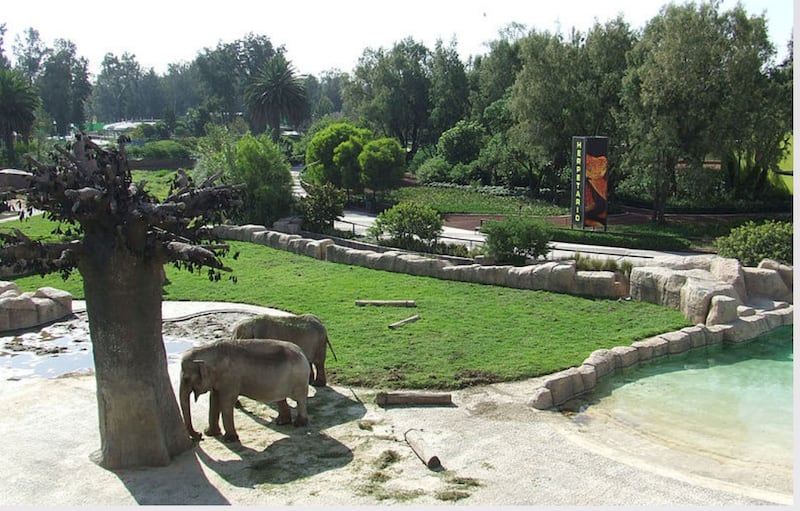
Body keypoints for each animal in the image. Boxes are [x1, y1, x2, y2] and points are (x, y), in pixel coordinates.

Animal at [180, 340, 310, 444]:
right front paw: (210, 433)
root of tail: (302, 352)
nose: (199, 435)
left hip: (299, 379)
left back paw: (299, 423)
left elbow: (226, 402)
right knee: (281, 398)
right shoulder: (218, 380)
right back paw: (281, 422)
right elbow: (214, 399)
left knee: (300, 399)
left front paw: (229, 440)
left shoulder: (231, 379)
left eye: (186, 379)